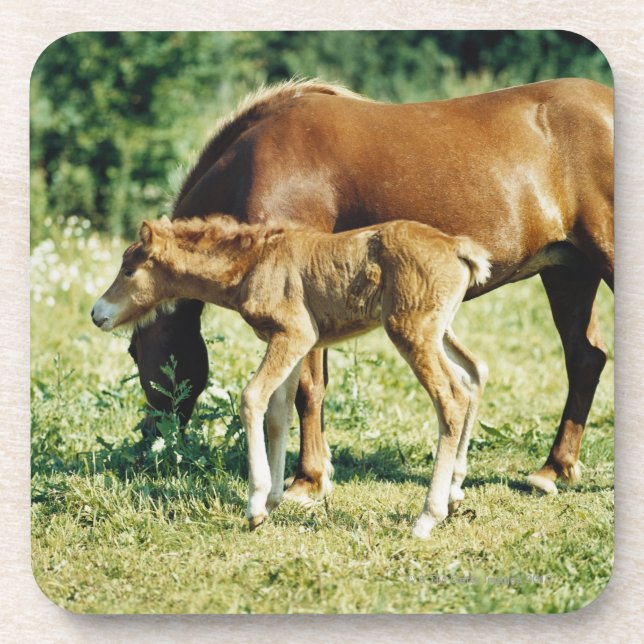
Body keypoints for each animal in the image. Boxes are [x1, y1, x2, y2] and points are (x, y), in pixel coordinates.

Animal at [93, 215, 491, 537]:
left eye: (129, 270)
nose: (97, 313)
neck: (253, 264)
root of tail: (457, 247)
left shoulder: (295, 334)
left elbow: (252, 398)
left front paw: (255, 505)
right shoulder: (291, 342)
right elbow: (278, 413)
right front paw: (272, 500)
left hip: (410, 330)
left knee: (450, 397)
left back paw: (427, 517)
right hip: (437, 329)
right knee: (473, 373)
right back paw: (454, 493)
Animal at [128, 78, 613, 501]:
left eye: (135, 352)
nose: (148, 445)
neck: (258, 157)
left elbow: (308, 388)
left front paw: (307, 479)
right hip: (568, 272)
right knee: (585, 358)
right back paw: (553, 469)